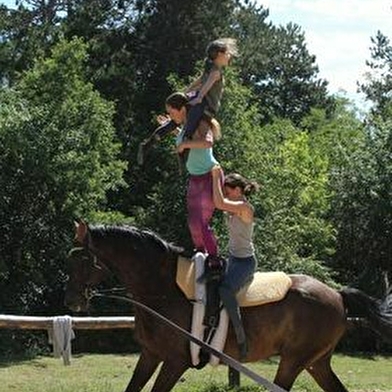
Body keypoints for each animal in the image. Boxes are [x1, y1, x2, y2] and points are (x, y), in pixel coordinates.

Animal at [66, 220, 392, 392]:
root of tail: (336, 293)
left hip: (293, 361)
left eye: (82, 259)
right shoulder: (150, 355)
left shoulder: (175, 362)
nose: (72, 300)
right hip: (316, 362)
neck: (164, 288)